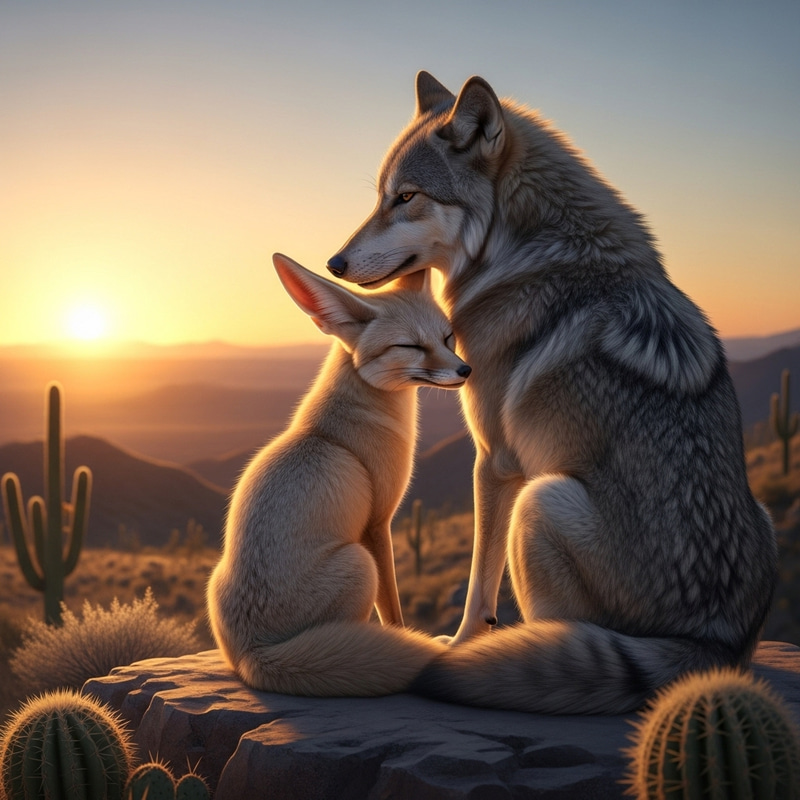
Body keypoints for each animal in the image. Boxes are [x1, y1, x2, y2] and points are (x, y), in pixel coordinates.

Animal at [206, 253, 471, 695]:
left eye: (448, 337)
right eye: (411, 346)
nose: (466, 370)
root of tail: (252, 654)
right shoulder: (377, 525)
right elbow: (393, 607)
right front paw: (405, 634)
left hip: (214, 577)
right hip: (359, 563)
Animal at [326, 71, 778, 713]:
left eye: (406, 197)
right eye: (382, 196)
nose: (334, 262)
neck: (515, 252)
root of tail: (707, 643)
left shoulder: (495, 461)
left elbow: (478, 586)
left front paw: (460, 644)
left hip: (541, 502)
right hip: (760, 514)